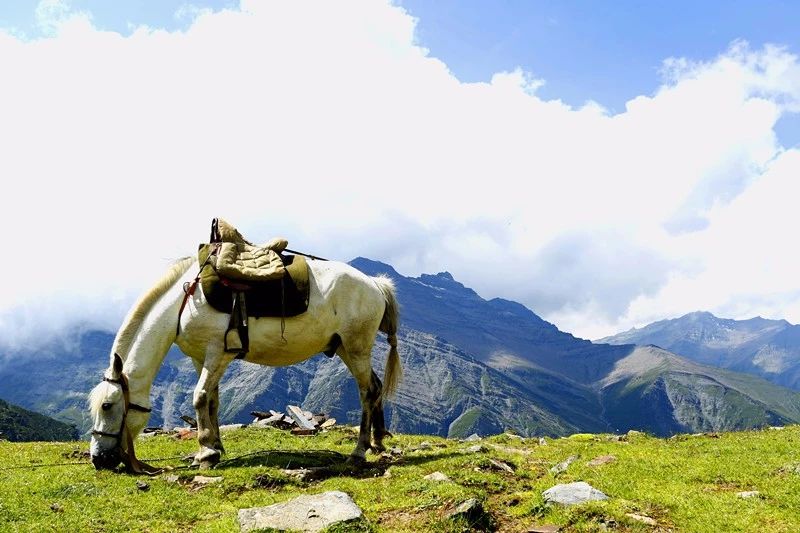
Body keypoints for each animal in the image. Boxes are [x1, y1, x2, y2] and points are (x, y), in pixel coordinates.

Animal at [89, 256, 400, 472]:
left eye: (107, 406)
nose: (97, 458)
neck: (183, 303)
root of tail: (375, 284)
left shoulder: (217, 353)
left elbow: (200, 397)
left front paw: (206, 453)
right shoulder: (200, 358)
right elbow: (212, 401)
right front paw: (214, 446)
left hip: (357, 348)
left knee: (367, 391)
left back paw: (359, 451)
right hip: (346, 349)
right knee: (375, 386)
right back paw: (377, 442)